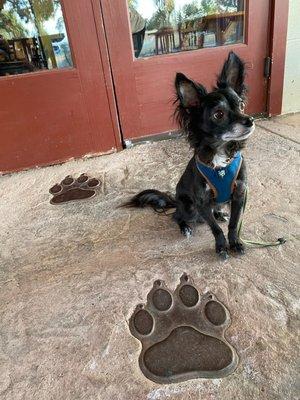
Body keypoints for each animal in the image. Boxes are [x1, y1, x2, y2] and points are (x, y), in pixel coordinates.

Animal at [123, 52, 254, 260]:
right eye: (218, 114)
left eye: (241, 105)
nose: (250, 120)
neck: (220, 157)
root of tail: (175, 201)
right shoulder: (201, 201)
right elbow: (215, 229)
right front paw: (221, 247)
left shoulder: (239, 195)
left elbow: (234, 224)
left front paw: (235, 243)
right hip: (189, 207)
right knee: (177, 216)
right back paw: (185, 227)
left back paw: (219, 214)